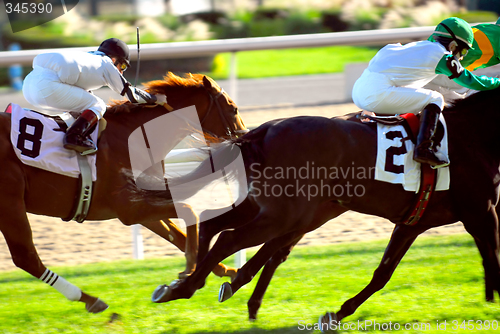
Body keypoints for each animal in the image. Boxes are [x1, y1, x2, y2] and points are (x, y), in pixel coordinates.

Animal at [0, 72, 247, 314]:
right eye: (233, 108)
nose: (244, 137)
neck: (137, 138)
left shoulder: (141, 205)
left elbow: (176, 235)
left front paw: (226, 271)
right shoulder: (129, 208)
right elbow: (189, 211)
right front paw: (188, 270)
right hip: (10, 204)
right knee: (26, 257)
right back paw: (89, 299)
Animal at [146, 87, 500, 326]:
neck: (473, 134)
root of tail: (263, 130)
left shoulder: (414, 221)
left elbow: (383, 273)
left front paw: (337, 313)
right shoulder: (481, 212)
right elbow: (493, 257)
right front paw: (491, 302)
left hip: (274, 207)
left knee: (213, 223)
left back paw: (186, 283)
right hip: (286, 212)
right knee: (232, 237)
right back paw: (193, 286)